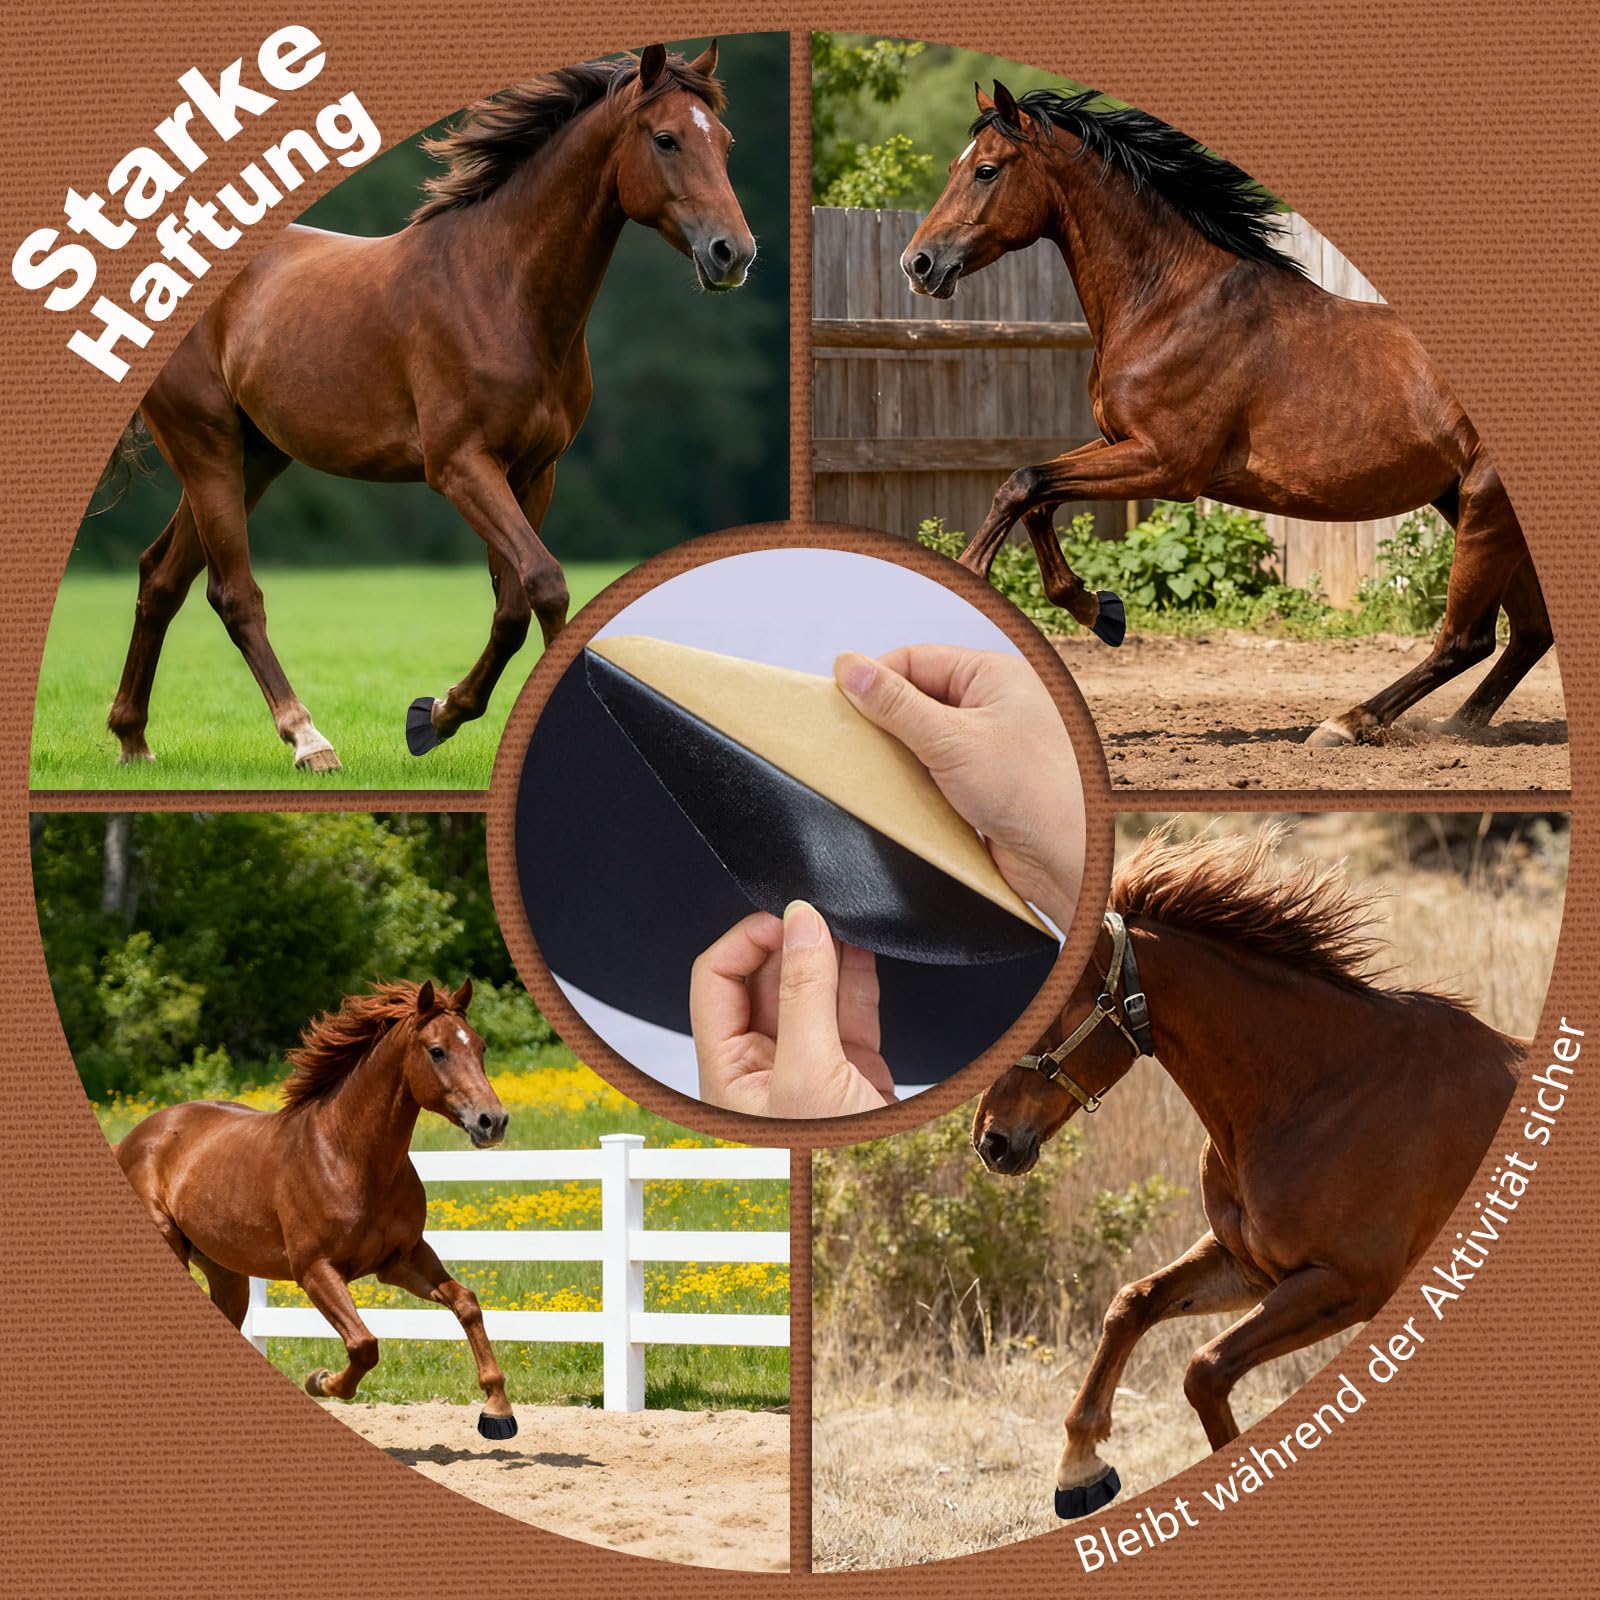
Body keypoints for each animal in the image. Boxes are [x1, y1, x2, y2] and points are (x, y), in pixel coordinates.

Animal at [104, 43, 755, 773]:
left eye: (724, 141)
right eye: (666, 138)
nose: (733, 253)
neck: (501, 289)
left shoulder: (534, 472)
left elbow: (512, 605)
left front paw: (437, 715)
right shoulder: (460, 467)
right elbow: (545, 583)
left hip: (256, 457)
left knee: (163, 576)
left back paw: (132, 738)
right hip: (206, 444)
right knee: (234, 594)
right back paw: (308, 740)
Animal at [115, 978, 521, 1438]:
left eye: (481, 1047)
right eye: (437, 1051)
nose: (492, 1121)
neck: (350, 1158)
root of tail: (135, 1137)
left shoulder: (401, 1260)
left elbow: (466, 1303)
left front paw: (497, 1410)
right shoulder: (315, 1270)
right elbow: (364, 1345)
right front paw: (320, 1381)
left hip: (227, 1272)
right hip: (171, 1247)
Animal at [902, 83, 1548, 747]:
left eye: (986, 169)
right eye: (952, 166)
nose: (918, 264)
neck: (1170, 302)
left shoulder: (1168, 466)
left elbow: (1023, 484)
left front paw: (969, 585)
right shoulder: (1119, 441)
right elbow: (1033, 495)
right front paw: (1100, 609)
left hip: (1484, 505)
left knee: (1467, 639)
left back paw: (1346, 724)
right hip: (1470, 505)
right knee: (1527, 633)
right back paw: (1457, 727)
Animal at [969, 827, 1523, 1518]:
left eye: (1051, 1009)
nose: (991, 1140)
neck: (1317, 1089)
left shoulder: (1344, 1284)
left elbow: (1204, 1370)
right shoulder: (1251, 1266)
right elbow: (1131, 1304)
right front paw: (1080, 1468)